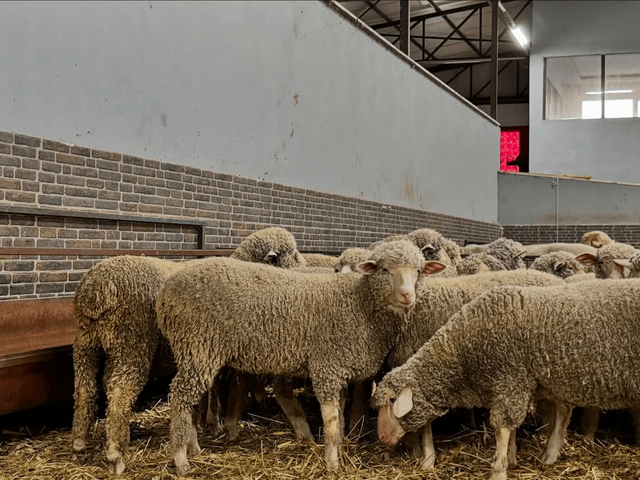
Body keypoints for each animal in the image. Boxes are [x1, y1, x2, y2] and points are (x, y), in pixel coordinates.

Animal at [72, 227, 305, 474]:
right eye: (291, 253)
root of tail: (96, 290)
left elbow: (203, 397)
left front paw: (197, 432)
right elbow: (218, 392)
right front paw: (215, 427)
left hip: (86, 342)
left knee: (85, 388)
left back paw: (79, 444)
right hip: (132, 341)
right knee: (119, 390)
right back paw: (116, 455)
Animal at [156, 240, 446, 474]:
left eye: (419, 271)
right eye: (385, 270)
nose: (408, 296)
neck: (359, 304)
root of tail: (166, 291)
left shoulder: (340, 367)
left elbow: (340, 412)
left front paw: (341, 444)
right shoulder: (327, 365)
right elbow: (330, 418)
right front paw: (332, 461)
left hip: (195, 350)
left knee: (190, 398)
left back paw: (193, 447)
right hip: (198, 345)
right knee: (180, 396)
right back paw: (181, 458)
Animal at [373, 279, 640, 480]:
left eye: (393, 400)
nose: (381, 437)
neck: (463, 353)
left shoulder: (509, 378)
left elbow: (502, 429)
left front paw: (498, 471)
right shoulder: (513, 384)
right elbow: (511, 428)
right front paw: (511, 458)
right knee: (563, 412)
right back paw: (550, 456)